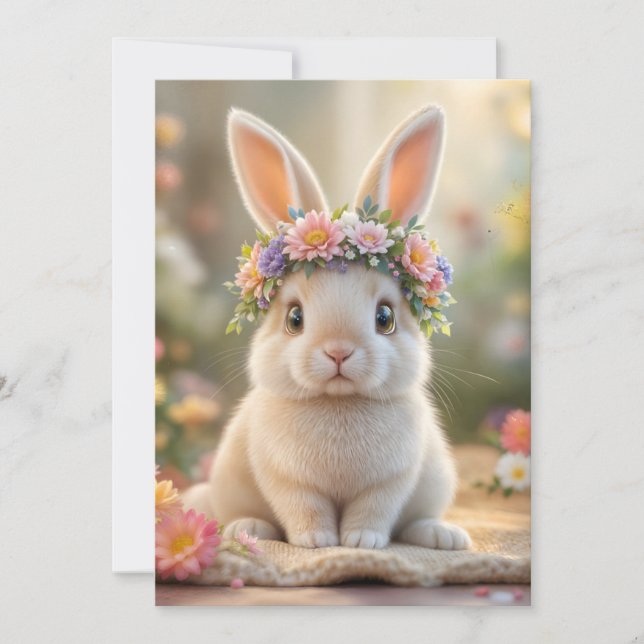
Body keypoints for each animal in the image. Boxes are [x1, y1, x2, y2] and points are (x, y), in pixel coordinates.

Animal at [181, 105, 471, 550]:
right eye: (294, 319)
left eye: (385, 318)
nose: (338, 352)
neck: (337, 402)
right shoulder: (287, 480)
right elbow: (305, 507)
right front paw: (317, 541)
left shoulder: (389, 482)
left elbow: (373, 511)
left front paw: (362, 542)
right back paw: (248, 528)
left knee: (414, 522)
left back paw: (443, 536)